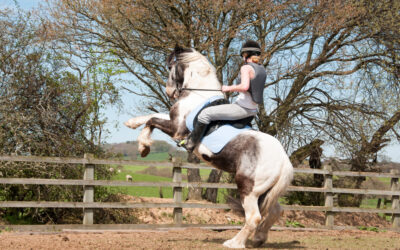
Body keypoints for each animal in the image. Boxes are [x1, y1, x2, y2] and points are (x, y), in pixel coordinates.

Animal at [125, 46, 294, 248]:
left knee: (254, 217)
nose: (169, 92)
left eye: (170, 67)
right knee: (276, 211)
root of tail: (284, 160)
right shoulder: (174, 122)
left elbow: (152, 120)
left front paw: (143, 146)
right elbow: (151, 117)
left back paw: (234, 242)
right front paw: (133, 126)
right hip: (268, 191)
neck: (197, 94)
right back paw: (259, 239)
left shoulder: (176, 128)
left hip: (249, 189)